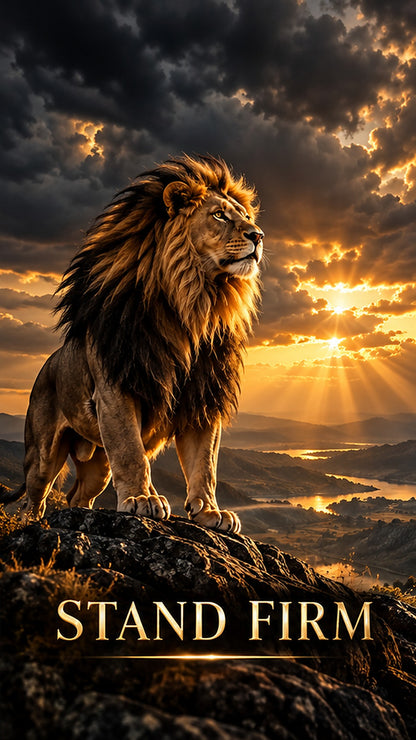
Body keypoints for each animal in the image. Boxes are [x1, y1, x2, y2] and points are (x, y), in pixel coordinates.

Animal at [2, 155, 263, 533]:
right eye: (219, 215)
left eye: (247, 218)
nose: (258, 235)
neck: (196, 303)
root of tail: (46, 365)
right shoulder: (117, 390)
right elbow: (131, 451)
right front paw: (142, 499)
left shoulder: (202, 397)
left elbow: (205, 465)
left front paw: (210, 512)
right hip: (42, 454)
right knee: (33, 500)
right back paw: (32, 525)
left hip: (98, 464)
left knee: (78, 496)